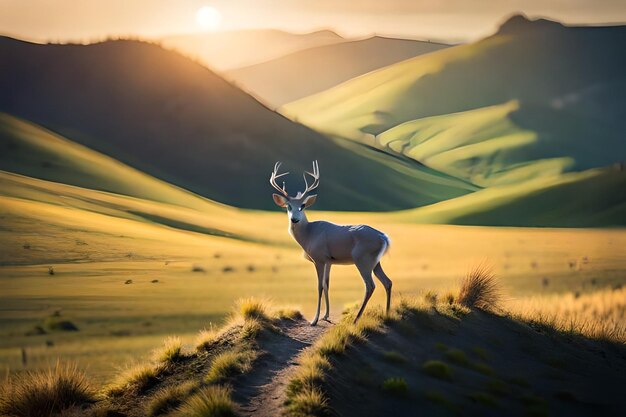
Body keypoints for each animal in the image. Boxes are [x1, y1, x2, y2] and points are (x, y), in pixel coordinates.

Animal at [268, 159, 390, 324]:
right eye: (288, 206)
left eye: (303, 206)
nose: (294, 219)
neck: (309, 234)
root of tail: (384, 237)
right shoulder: (329, 260)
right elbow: (327, 284)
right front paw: (325, 316)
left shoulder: (319, 258)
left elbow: (319, 286)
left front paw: (314, 320)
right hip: (375, 262)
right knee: (387, 282)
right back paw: (388, 314)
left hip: (362, 259)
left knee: (370, 286)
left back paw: (356, 319)